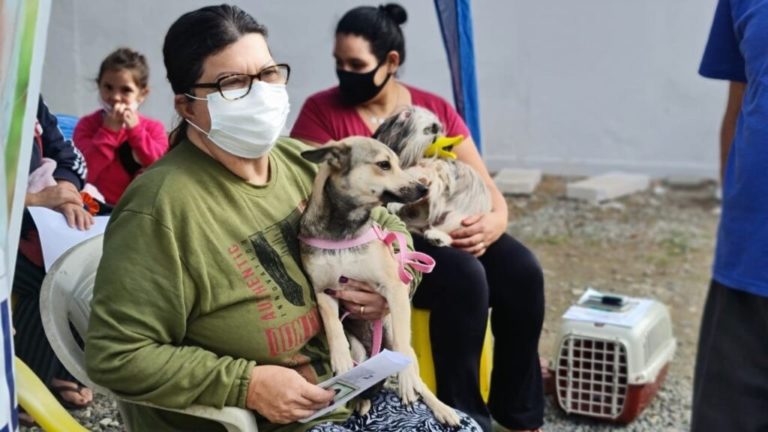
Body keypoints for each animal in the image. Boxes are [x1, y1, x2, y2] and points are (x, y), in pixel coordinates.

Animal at [298, 138, 456, 426]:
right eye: (384, 164)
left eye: (398, 163)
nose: (424, 188)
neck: (344, 229)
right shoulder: (323, 290)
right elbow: (332, 325)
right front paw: (340, 358)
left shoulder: (394, 288)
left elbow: (404, 349)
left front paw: (407, 383)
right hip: (361, 351)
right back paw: (362, 400)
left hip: (394, 337)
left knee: (418, 379)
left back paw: (441, 408)